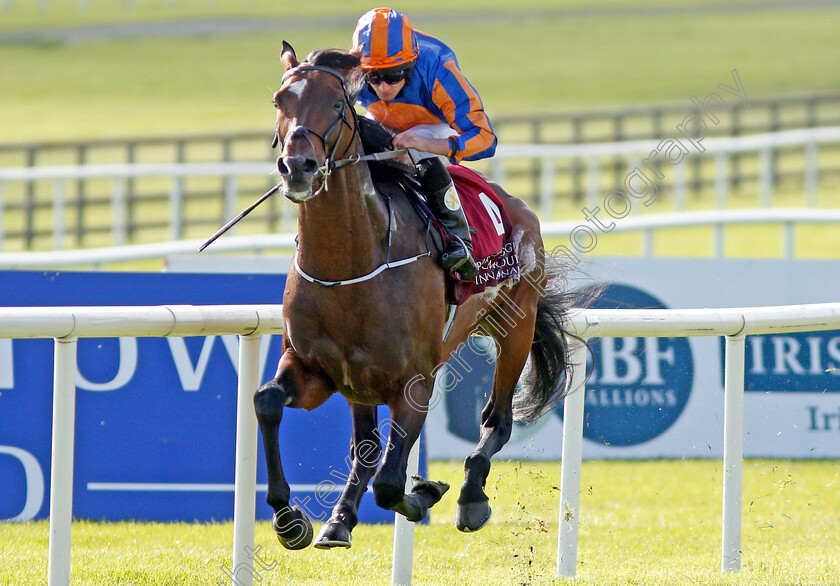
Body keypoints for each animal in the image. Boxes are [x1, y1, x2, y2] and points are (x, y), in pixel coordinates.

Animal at [256, 43, 580, 548]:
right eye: (279, 100)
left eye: (336, 103)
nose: (297, 167)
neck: (349, 267)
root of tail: (516, 205)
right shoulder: (316, 370)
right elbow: (267, 402)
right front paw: (290, 518)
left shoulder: (415, 382)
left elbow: (391, 484)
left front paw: (427, 491)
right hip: (359, 382)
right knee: (364, 449)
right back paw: (339, 519)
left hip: (516, 325)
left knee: (497, 419)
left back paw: (471, 495)